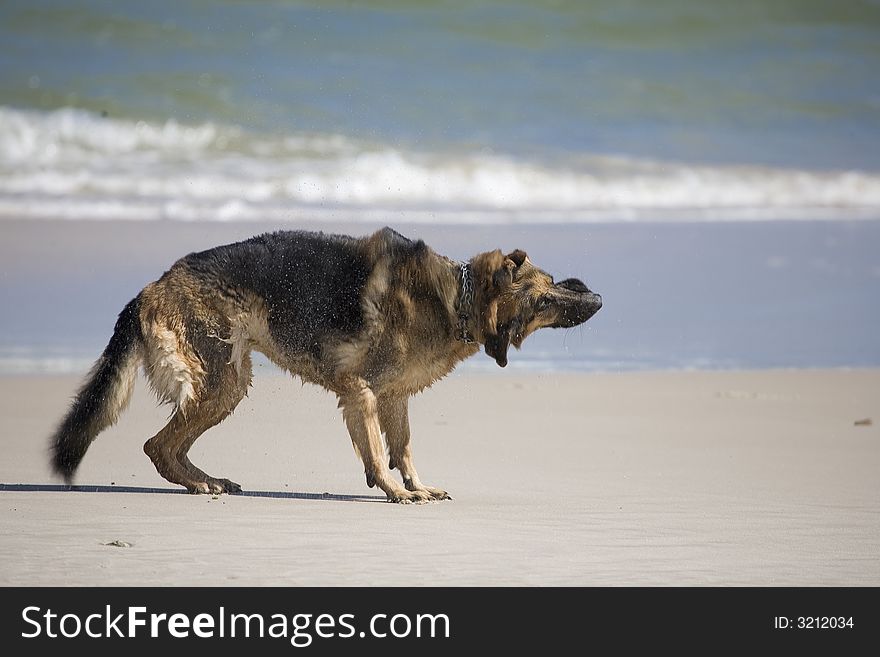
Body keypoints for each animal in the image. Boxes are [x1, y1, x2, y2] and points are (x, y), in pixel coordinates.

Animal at [48, 227, 600, 502]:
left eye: (553, 284)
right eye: (546, 296)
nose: (596, 297)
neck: (454, 299)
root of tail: (150, 288)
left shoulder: (393, 398)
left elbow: (403, 449)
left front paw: (415, 486)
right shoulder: (361, 392)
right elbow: (377, 451)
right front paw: (393, 492)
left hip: (228, 385)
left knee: (164, 446)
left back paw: (208, 481)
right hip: (222, 382)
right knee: (157, 445)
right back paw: (203, 484)